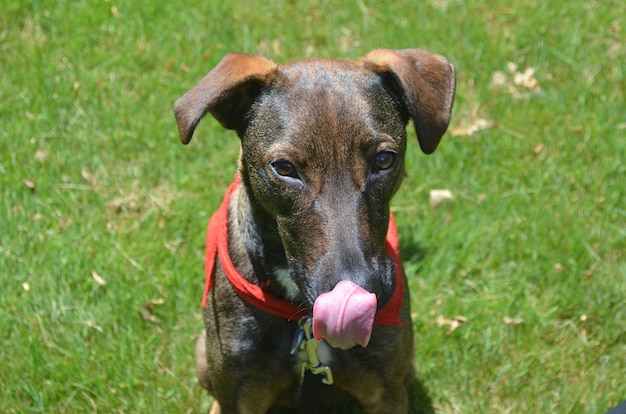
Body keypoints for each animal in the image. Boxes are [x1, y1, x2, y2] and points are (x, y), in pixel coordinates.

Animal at [173, 47, 456, 412]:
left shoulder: (386, 391)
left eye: (384, 160)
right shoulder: (240, 394)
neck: (303, 321)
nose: (362, 291)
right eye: (284, 168)